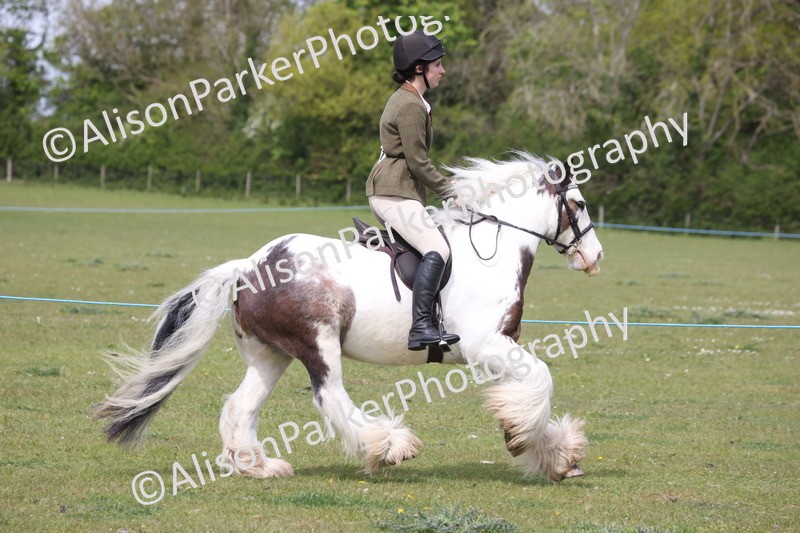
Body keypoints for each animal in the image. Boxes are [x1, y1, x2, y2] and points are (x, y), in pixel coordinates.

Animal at [95, 152, 604, 482]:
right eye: (578, 204)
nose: (595, 257)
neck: (491, 252)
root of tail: (248, 265)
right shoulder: (486, 345)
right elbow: (542, 380)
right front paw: (535, 443)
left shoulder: (498, 349)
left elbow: (526, 389)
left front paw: (550, 451)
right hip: (317, 342)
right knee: (330, 397)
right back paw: (387, 446)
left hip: (270, 354)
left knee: (241, 406)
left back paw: (258, 466)